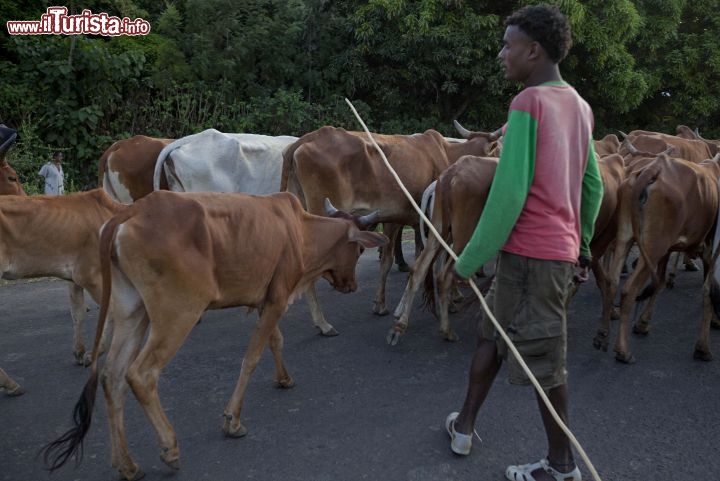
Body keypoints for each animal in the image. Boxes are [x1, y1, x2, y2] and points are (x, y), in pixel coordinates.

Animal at [43, 191, 388, 480]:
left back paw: (127, 465)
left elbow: (275, 341)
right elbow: (251, 357)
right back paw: (169, 449)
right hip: (178, 313)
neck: (300, 232)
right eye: (359, 249)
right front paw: (232, 421)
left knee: (112, 377)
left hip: (132, 311)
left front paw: (284, 378)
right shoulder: (277, 299)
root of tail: (129, 213)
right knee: (141, 374)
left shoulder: (265, 301)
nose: (351, 285)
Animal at [280, 125, 496, 326]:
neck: (447, 153)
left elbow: (395, 258)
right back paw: (322, 323)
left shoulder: (398, 219)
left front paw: (384, 304)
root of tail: (305, 140)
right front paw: (452, 298)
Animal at [592, 153, 720, 360]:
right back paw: (623, 350)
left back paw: (602, 335)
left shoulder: (667, 252)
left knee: (612, 282)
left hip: (627, 237)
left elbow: (659, 283)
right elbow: (709, 290)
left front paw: (643, 323)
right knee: (629, 289)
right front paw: (704, 345)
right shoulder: (710, 252)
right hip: (653, 248)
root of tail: (654, 168)